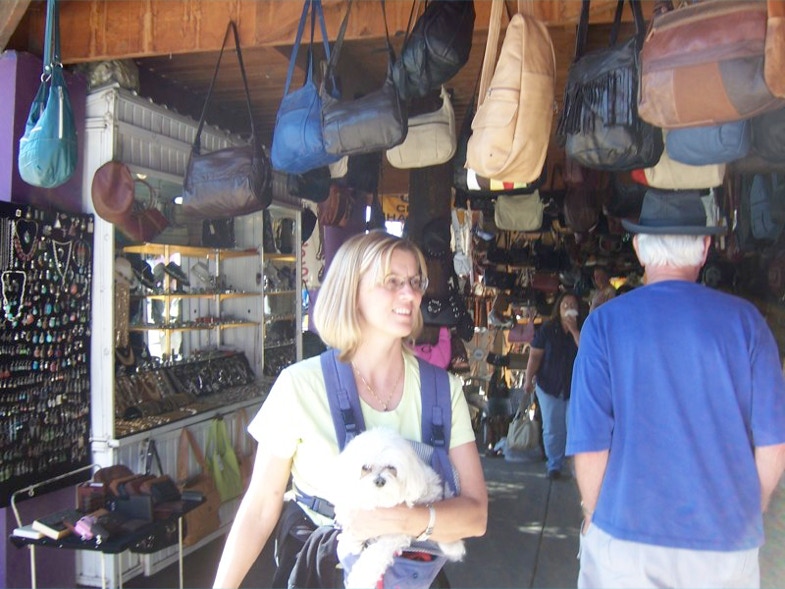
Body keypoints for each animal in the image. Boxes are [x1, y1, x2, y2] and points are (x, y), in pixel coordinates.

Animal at [330, 427, 465, 588]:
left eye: (391, 468)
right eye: (366, 468)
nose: (380, 481)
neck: (379, 501)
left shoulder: (395, 533)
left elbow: (375, 556)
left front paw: (361, 579)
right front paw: (350, 540)